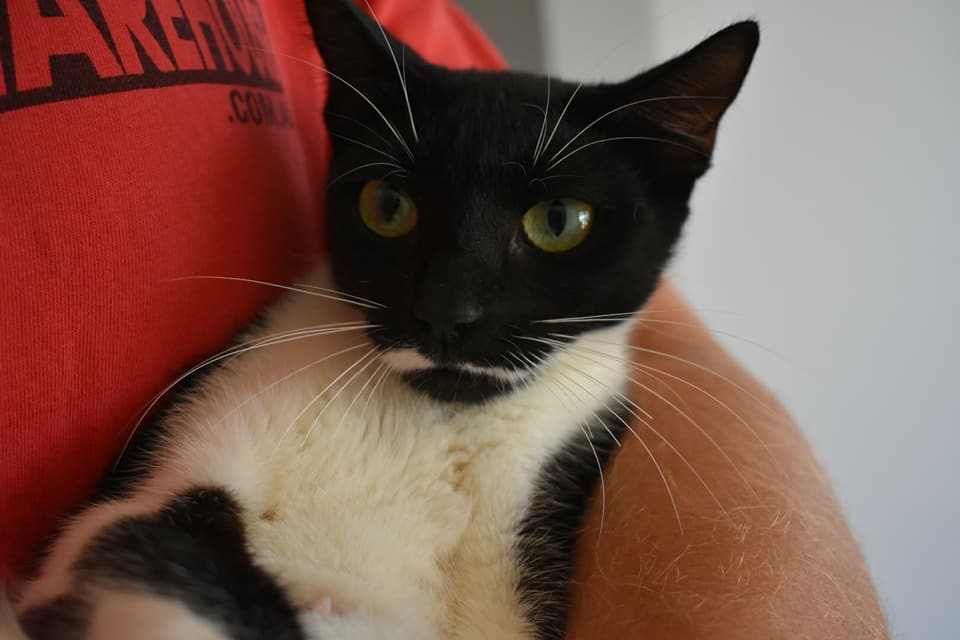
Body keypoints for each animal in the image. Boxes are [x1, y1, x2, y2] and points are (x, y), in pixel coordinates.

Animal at [13, 1, 758, 638]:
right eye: (387, 205)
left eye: (559, 222)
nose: (448, 312)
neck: (419, 426)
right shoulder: (164, 472)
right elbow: (159, 548)